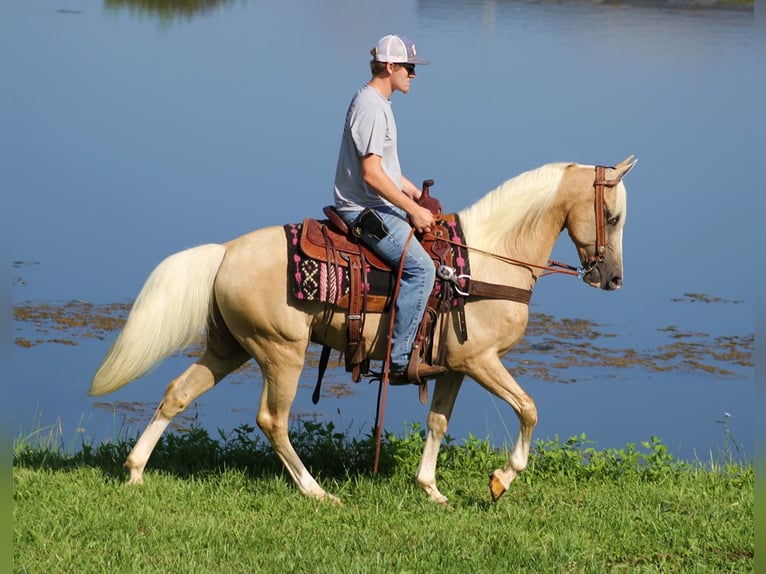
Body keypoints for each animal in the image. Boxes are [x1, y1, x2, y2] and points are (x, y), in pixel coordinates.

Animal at [90, 156, 640, 504]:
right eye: (612, 216)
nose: (614, 278)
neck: (485, 262)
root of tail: (225, 251)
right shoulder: (482, 360)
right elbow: (528, 409)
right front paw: (501, 480)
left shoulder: (454, 367)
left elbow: (437, 423)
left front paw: (430, 489)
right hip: (281, 352)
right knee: (273, 420)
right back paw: (316, 492)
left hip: (230, 348)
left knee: (177, 393)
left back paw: (135, 472)